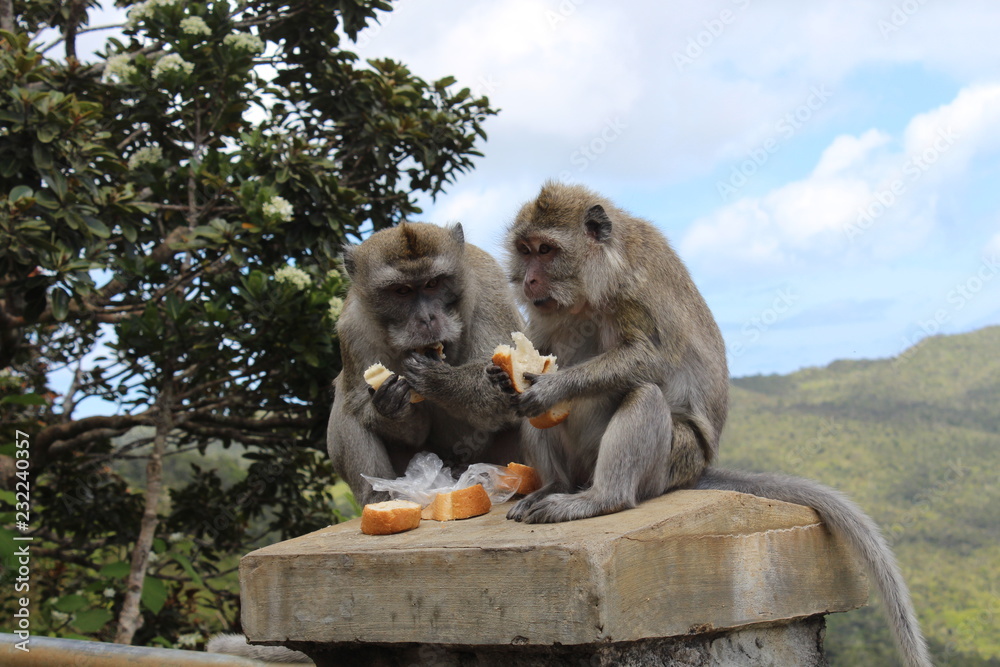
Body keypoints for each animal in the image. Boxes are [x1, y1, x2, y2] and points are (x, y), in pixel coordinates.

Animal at [328, 221, 524, 506]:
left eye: (433, 283)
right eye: (402, 291)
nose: (427, 318)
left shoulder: (488, 283)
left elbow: (504, 383)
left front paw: (440, 380)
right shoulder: (352, 326)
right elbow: (396, 424)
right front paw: (389, 406)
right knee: (346, 404)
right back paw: (379, 497)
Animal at [495, 182, 931, 667]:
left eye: (547, 250)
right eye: (525, 250)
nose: (529, 281)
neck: (590, 290)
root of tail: (698, 468)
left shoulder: (633, 290)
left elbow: (649, 360)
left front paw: (555, 385)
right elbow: (537, 355)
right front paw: (503, 376)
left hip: (672, 461)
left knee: (644, 395)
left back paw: (600, 499)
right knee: (540, 418)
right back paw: (554, 485)